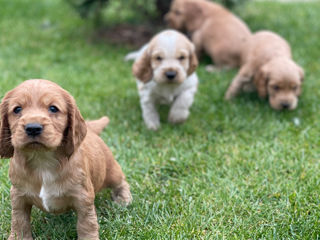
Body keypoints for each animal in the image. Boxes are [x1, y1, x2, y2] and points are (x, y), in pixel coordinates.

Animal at [0, 79, 132, 239]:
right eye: (17, 109)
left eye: (53, 108)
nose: (33, 128)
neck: (42, 159)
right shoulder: (18, 195)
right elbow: (19, 220)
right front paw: (18, 237)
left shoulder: (83, 197)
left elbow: (86, 223)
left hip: (111, 170)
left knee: (121, 181)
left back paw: (124, 198)